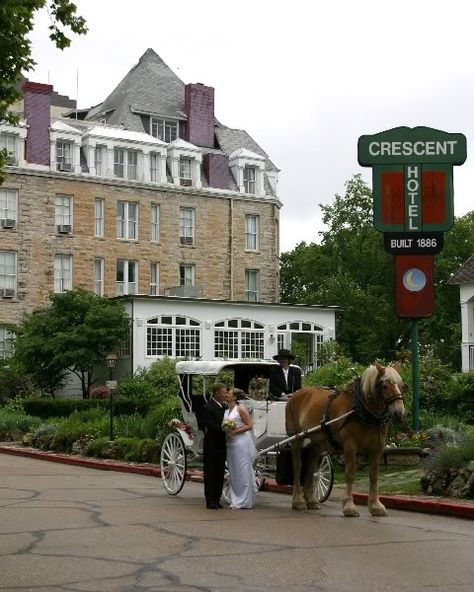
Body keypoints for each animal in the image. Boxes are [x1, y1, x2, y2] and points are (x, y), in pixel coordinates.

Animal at [284, 364, 406, 516]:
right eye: (384, 386)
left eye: (402, 385)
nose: (399, 413)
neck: (361, 410)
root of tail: (296, 393)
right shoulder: (350, 445)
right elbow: (350, 474)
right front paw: (349, 506)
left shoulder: (377, 448)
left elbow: (374, 475)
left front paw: (375, 506)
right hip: (296, 437)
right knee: (297, 466)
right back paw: (298, 500)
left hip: (317, 442)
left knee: (311, 467)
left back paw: (311, 500)